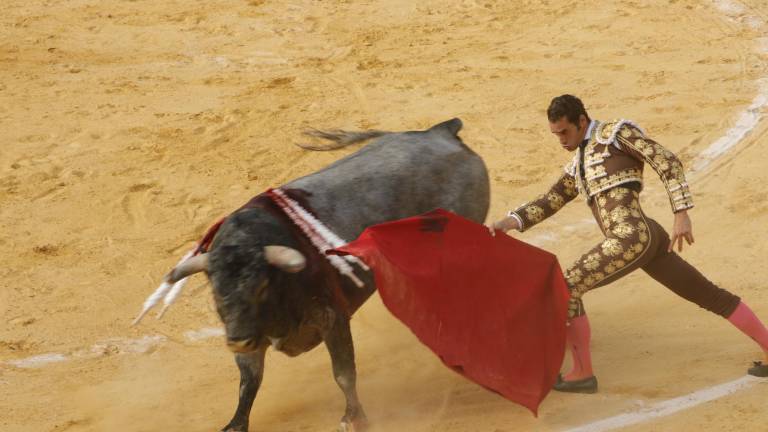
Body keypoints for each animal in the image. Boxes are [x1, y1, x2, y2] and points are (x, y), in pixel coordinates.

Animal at [163, 116, 488, 430]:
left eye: (261, 286)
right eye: (216, 290)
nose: (237, 341)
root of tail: (440, 131)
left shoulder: (332, 319)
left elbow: (343, 372)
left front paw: (353, 418)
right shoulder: (249, 332)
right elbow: (249, 382)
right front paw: (235, 424)